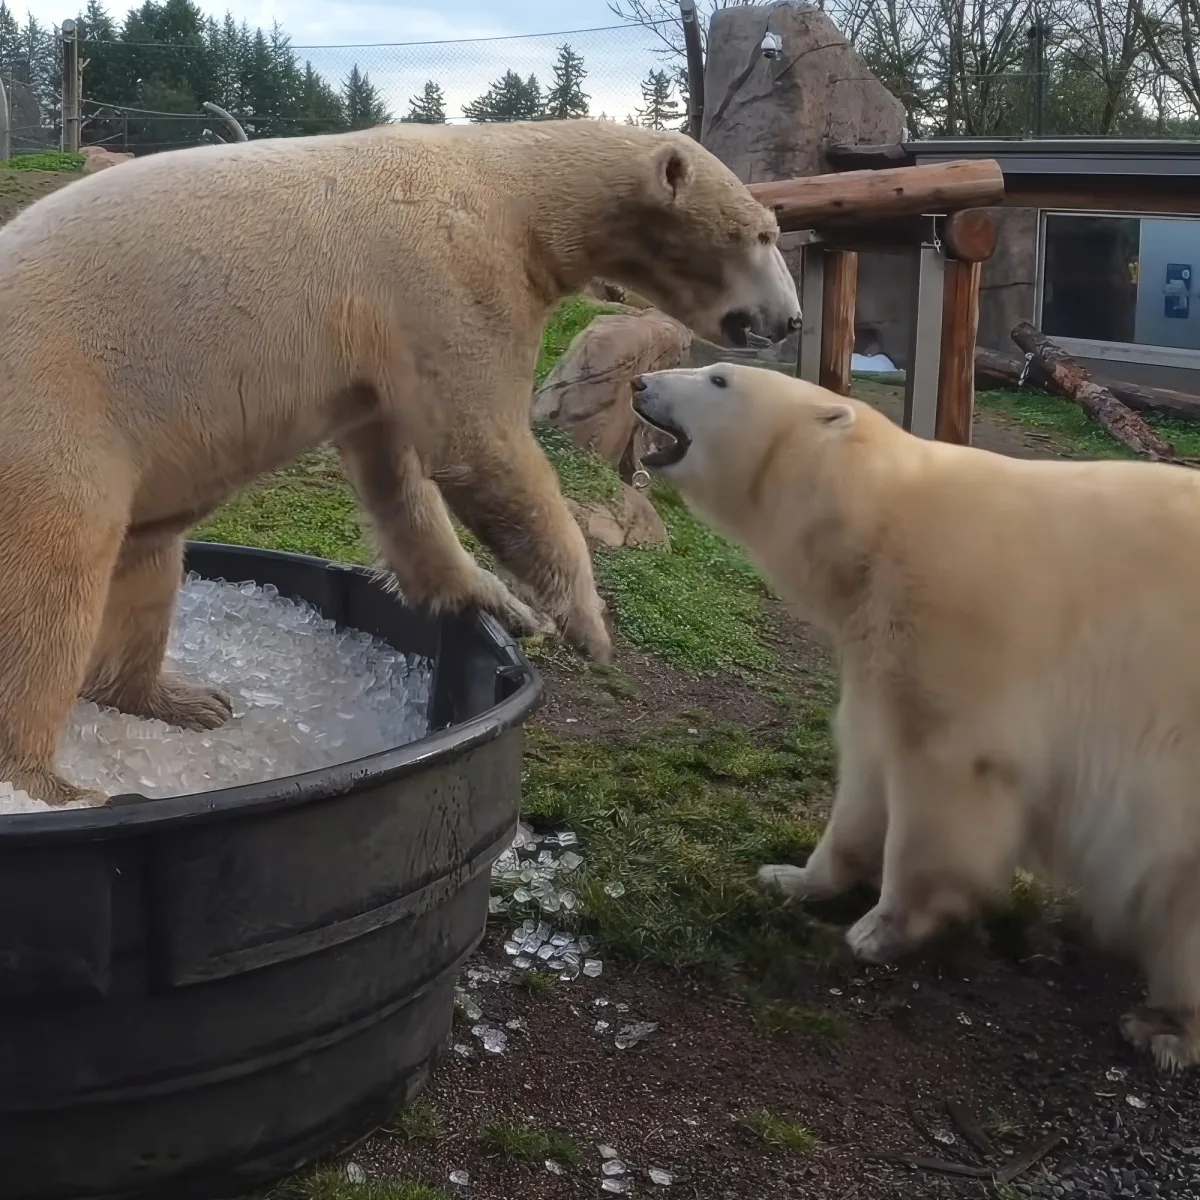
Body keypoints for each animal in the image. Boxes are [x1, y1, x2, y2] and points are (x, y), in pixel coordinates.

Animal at [0, 119, 801, 809]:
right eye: (763, 233)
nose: (789, 320)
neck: (514, 190)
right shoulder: (451, 275)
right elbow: (481, 444)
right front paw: (585, 623)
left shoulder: (382, 351)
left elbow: (395, 473)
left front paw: (498, 604)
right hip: (55, 408)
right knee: (54, 584)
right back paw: (55, 785)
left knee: (148, 558)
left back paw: (182, 699)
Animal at [629, 360, 1200, 1073]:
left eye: (718, 378)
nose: (640, 383)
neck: (882, 516)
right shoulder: (877, 644)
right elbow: (867, 762)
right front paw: (792, 877)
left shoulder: (956, 623)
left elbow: (941, 782)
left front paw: (881, 929)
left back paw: (1163, 1026)